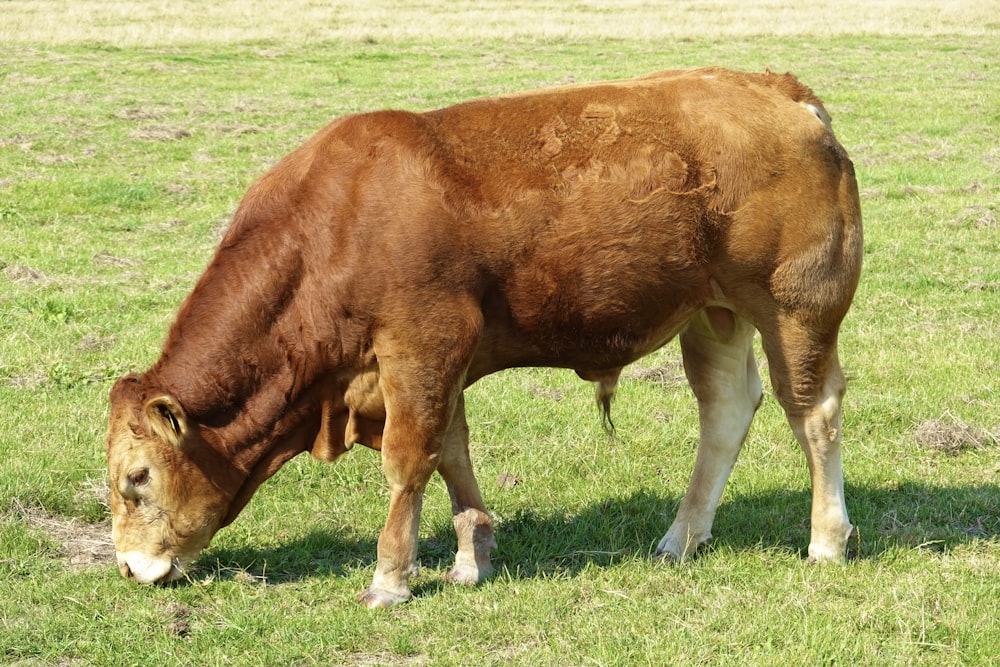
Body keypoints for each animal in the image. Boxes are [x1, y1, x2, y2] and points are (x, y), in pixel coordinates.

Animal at [105, 69, 864, 612]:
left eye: (136, 477)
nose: (129, 567)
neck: (333, 225)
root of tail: (775, 88)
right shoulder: (434, 362)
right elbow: (452, 452)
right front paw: (474, 555)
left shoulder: (422, 344)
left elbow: (409, 461)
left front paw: (391, 578)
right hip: (714, 313)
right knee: (726, 410)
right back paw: (681, 537)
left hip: (795, 307)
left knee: (814, 412)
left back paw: (826, 539)